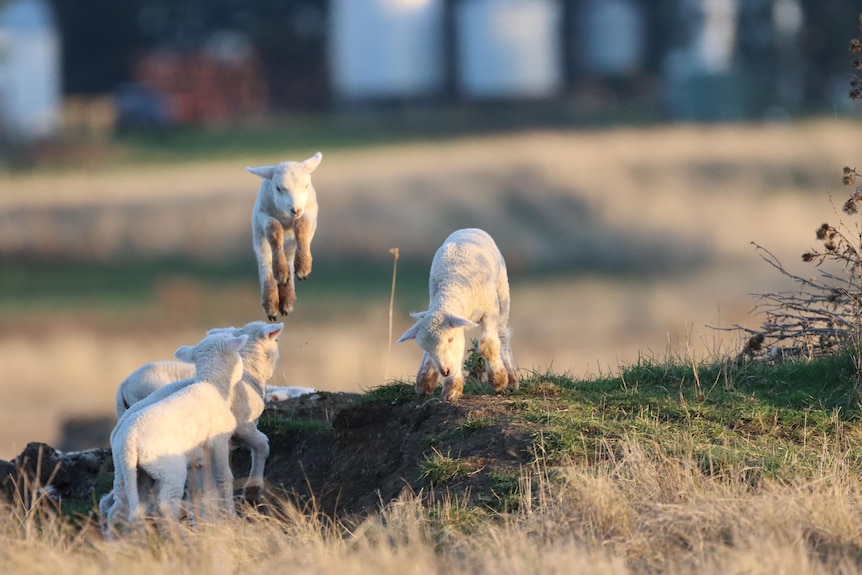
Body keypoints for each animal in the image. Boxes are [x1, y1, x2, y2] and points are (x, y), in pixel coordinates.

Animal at [248, 151, 322, 322]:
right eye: (278, 188)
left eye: (306, 185)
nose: (296, 209)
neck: (286, 217)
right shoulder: (263, 214)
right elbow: (273, 228)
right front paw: (280, 273)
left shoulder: (310, 210)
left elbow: (302, 225)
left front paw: (303, 267)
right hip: (258, 236)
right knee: (265, 262)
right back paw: (272, 303)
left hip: (291, 243)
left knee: (289, 257)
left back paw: (287, 297)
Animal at [398, 227, 520, 402]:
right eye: (425, 347)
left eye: (450, 339)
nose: (445, 371)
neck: (450, 288)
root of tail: (469, 229)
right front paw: (440, 386)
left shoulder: (490, 311)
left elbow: (488, 344)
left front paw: (499, 380)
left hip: (502, 291)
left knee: (502, 336)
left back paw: (511, 379)